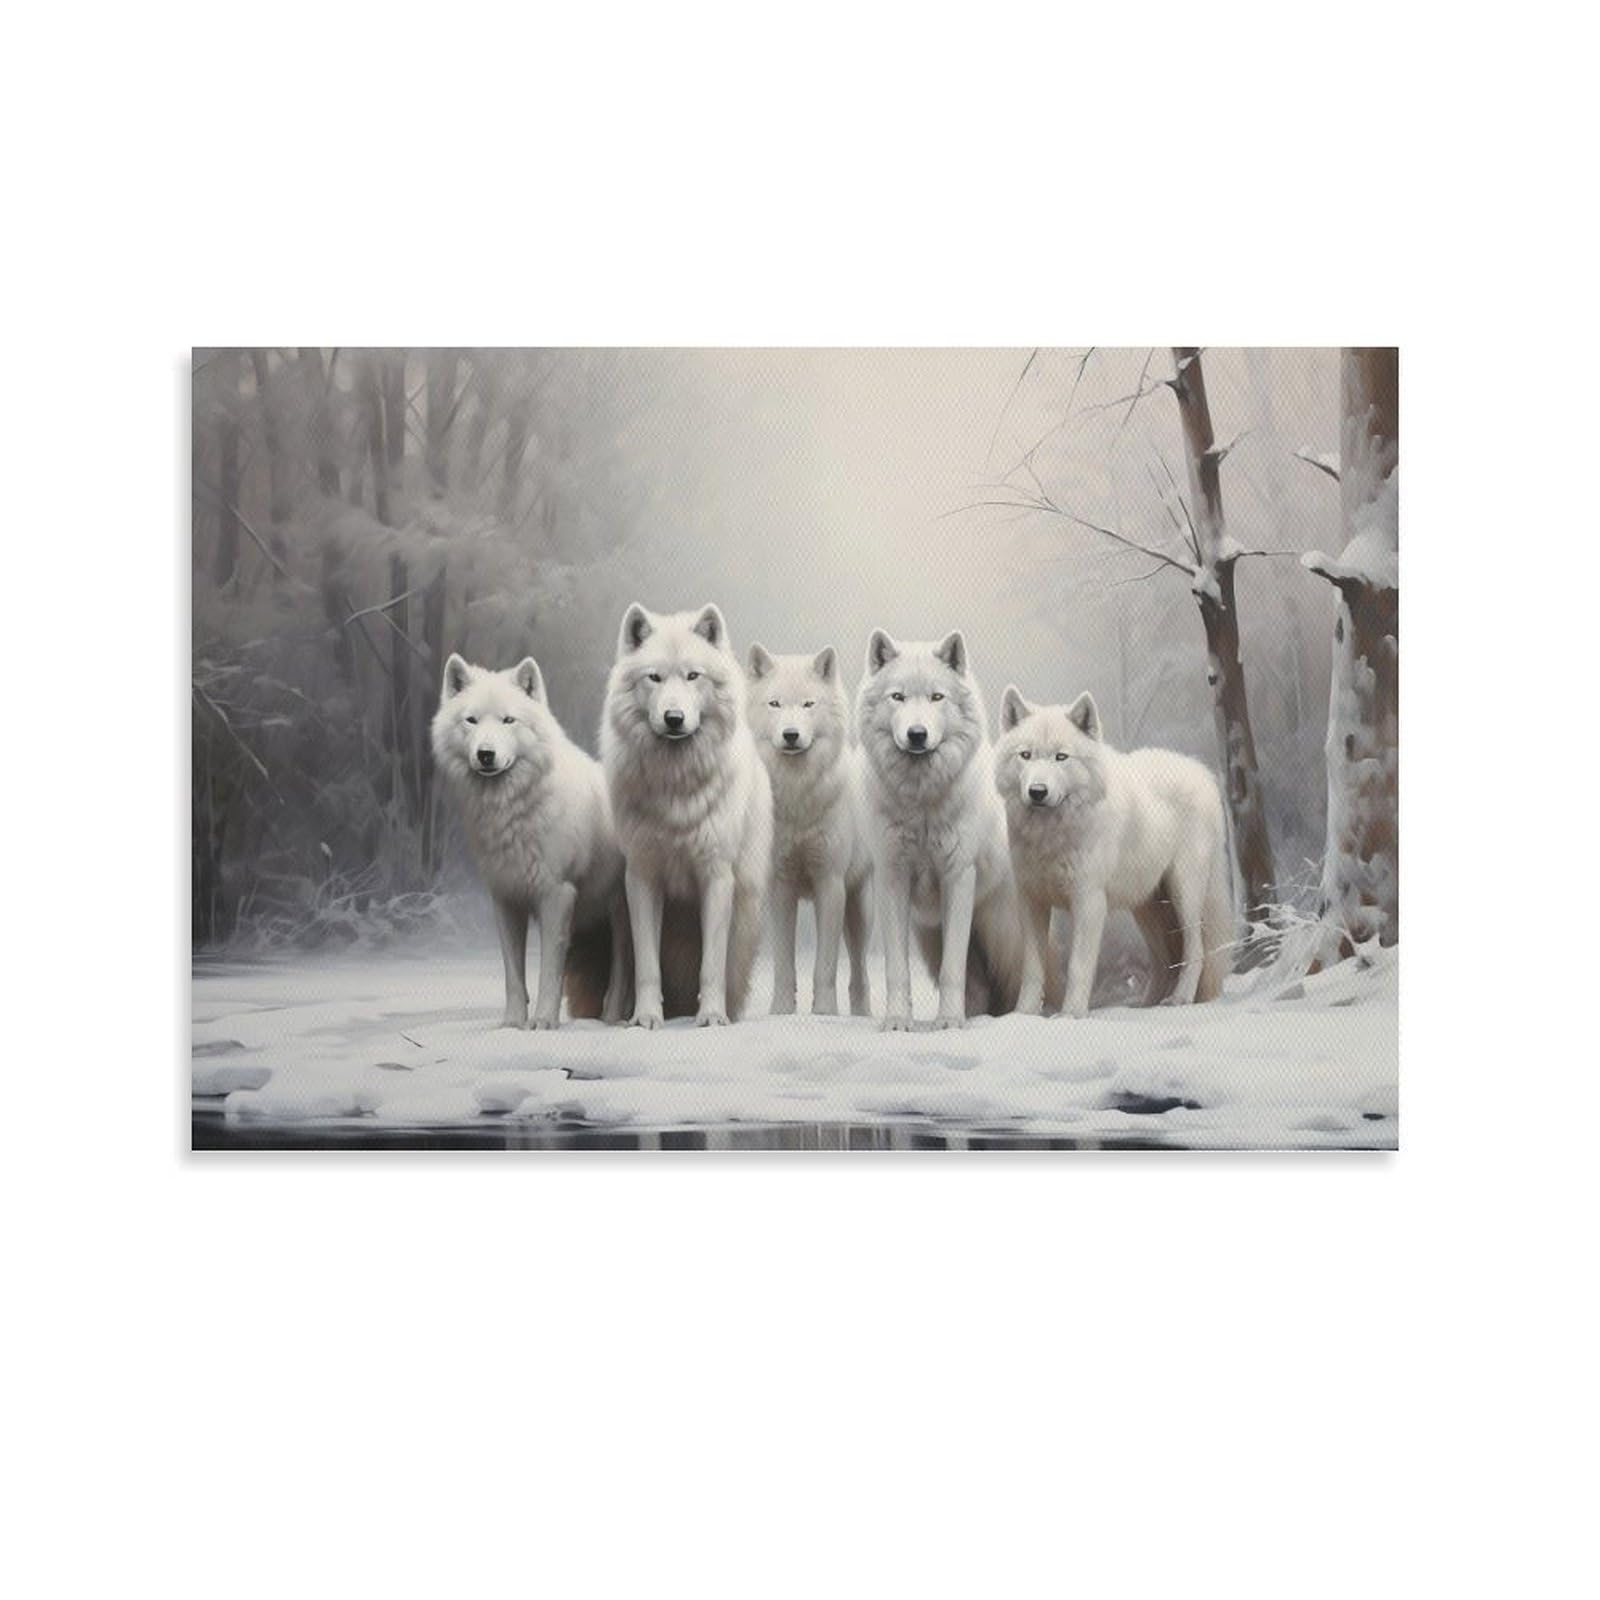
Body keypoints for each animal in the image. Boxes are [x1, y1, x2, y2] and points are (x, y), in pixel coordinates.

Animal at [431, 654, 632, 1029]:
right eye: (472, 720)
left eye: (508, 720)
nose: (486, 754)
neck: (511, 810)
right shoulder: (506, 899)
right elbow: (513, 974)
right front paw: (512, 1023)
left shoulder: (556, 896)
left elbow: (549, 973)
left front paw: (543, 1022)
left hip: (621, 911)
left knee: (624, 969)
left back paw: (613, 1019)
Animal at [601, 602, 772, 1027]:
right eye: (655, 678)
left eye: (694, 676)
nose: (674, 718)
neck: (676, 786)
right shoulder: (642, 878)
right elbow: (647, 967)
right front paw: (646, 1018)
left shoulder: (717, 878)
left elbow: (711, 967)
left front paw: (710, 1017)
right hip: (620, 913)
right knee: (622, 970)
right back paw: (615, 1016)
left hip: (743, 919)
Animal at [746, 643, 873, 1017]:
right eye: (775, 704)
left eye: (807, 704)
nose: (791, 735)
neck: (797, 796)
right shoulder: (781, 887)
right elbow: (784, 965)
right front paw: (780, 1012)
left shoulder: (830, 884)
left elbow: (825, 966)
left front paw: (825, 1014)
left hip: (859, 911)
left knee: (860, 970)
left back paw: (861, 1014)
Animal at [856, 629, 1023, 1029]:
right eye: (898, 697)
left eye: (936, 697)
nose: (917, 734)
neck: (921, 803)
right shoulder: (892, 877)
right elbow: (898, 969)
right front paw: (897, 1021)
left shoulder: (958, 876)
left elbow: (953, 969)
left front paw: (948, 1023)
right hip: (932, 938)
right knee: (980, 987)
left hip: (1004, 936)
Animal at [995, 686, 1233, 1017]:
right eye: (1026, 755)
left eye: (1061, 757)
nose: (1037, 792)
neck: (1052, 835)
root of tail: (1202, 772)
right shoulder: (1032, 902)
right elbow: (1032, 969)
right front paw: (1023, 1015)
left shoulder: (1089, 902)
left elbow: (1079, 966)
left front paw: (1071, 1015)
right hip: (1148, 908)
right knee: (1163, 960)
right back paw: (1145, 1006)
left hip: (1184, 894)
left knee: (1195, 948)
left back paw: (1179, 999)